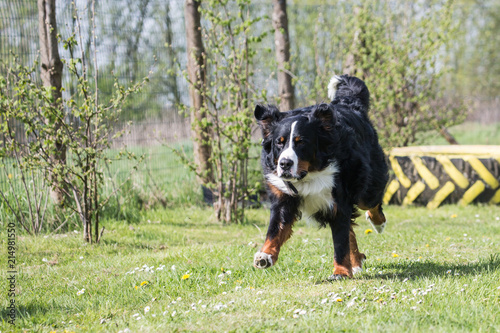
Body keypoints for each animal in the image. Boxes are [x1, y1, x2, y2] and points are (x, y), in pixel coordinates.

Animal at [254, 74, 386, 278]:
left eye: (301, 142)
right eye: (279, 142)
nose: (284, 164)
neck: (307, 176)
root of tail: (350, 105)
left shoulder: (338, 200)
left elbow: (340, 242)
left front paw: (340, 271)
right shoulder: (283, 197)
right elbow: (276, 229)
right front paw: (265, 255)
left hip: (367, 183)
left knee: (372, 204)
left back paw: (377, 224)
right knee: (350, 230)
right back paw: (356, 261)